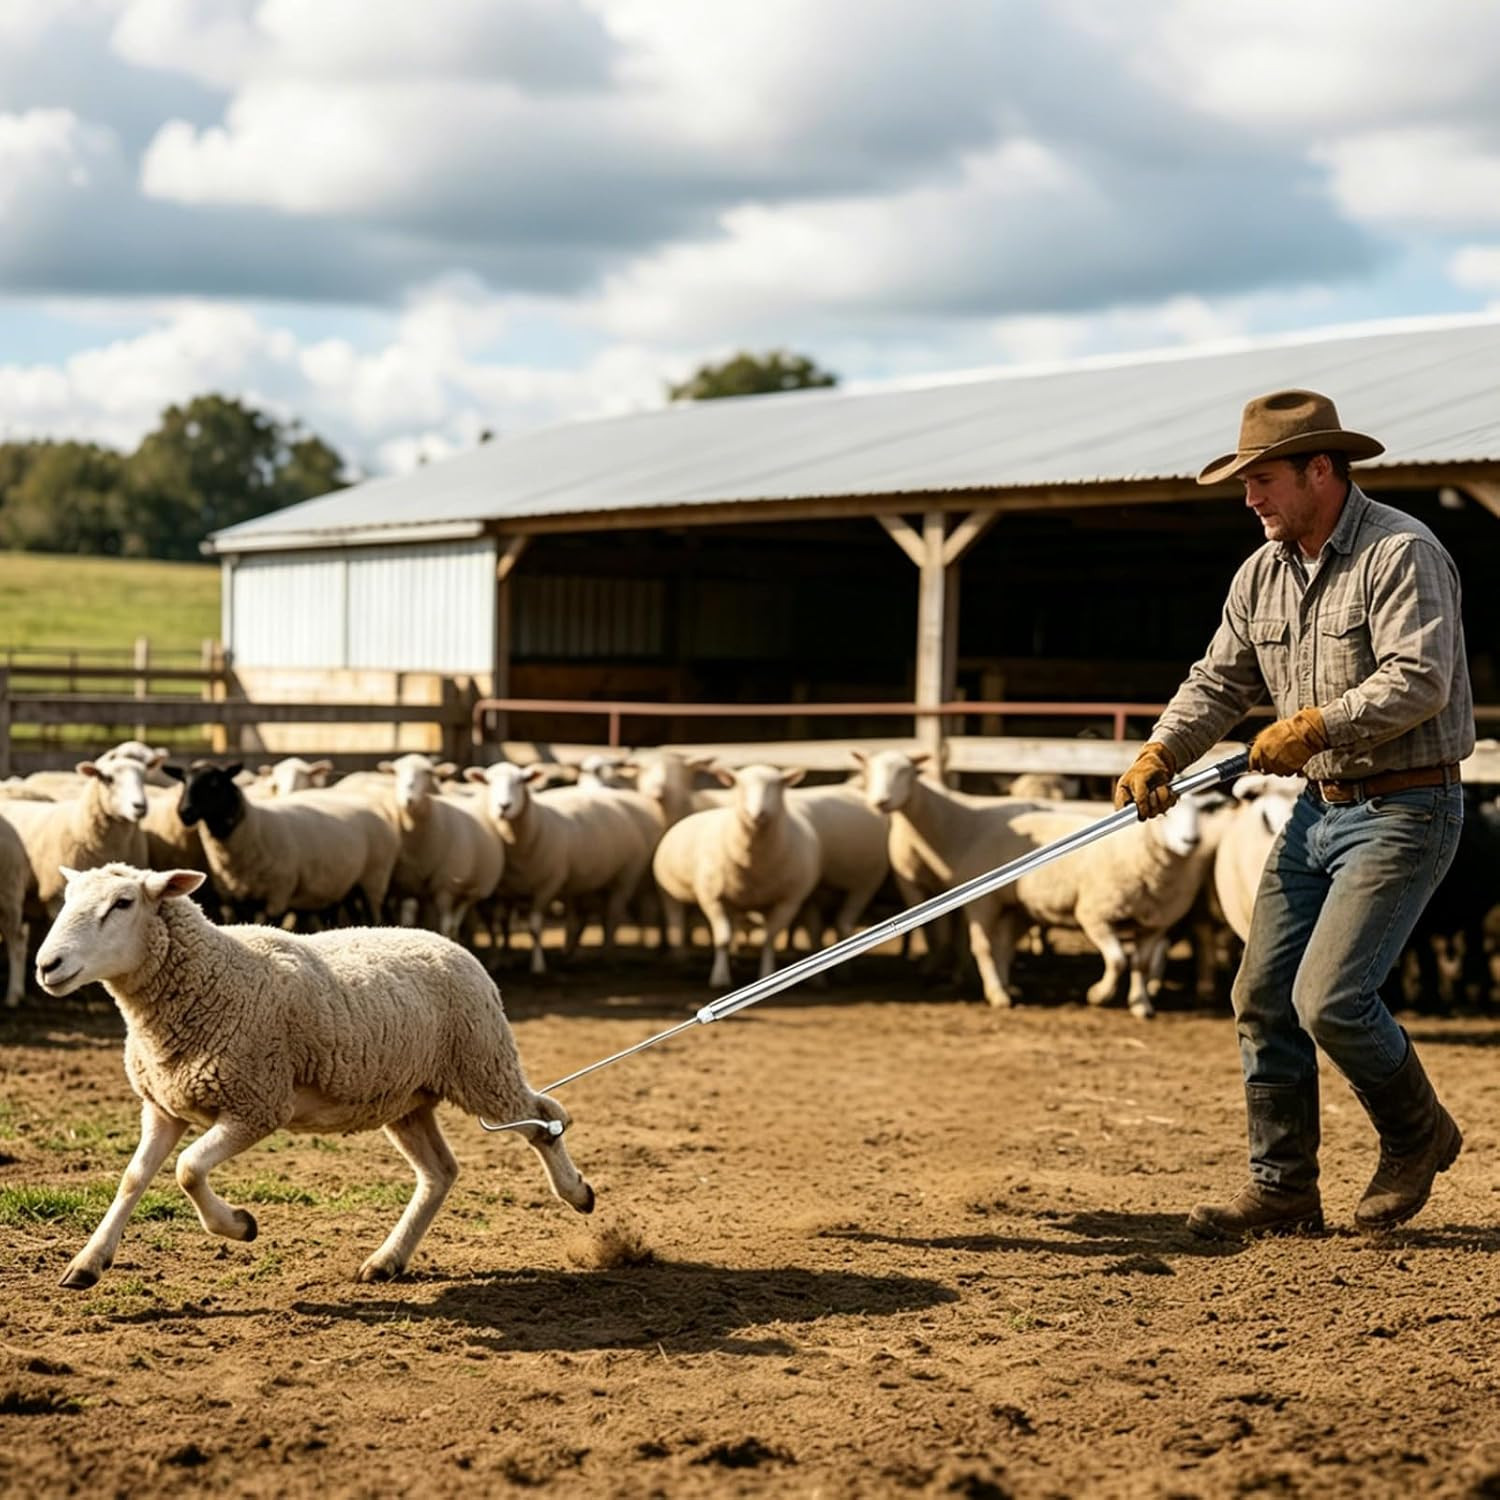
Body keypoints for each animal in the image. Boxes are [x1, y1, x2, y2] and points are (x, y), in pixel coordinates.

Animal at [35, 862, 594, 1288]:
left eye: (123, 903)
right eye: (67, 900)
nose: (47, 965)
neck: (212, 975)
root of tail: (450, 943)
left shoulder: (257, 1104)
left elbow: (188, 1169)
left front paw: (239, 1226)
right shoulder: (163, 1106)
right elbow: (134, 1178)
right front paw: (88, 1263)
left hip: (482, 1067)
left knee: (545, 1116)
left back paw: (576, 1192)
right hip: (408, 1098)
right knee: (441, 1172)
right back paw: (387, 1260)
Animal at [168, 761, 399, 926]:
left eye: (214, 784)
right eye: (183, 781)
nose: (184, 812)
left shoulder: (278, 895)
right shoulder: (236, 899)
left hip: (374, 879)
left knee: (373, 916)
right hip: (349, 886)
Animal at [377, 754, 503, 938]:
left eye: (428, 772)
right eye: (396, 772)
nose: (408, 798)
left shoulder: (445, 885)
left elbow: (445, 925)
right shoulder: (408, 883)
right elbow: (409, 921)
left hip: (470, 889)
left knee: (455, 921)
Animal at [463, 761, 657, 974]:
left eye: (522, 781)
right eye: (488, 782)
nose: (504, 807)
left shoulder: (547, 885)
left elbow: (534, 927)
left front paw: (538, 965)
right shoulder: (505, 891)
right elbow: (502, 925)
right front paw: (500, 959)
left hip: (625, 876)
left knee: (612, 917)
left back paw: (608, 957)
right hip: (586, 882)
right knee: (581, 920)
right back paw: (569, 955)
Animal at [651, 764, 821, 988]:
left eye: (778, 785)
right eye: (740, 785)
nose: (758, 814)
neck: (754, 864)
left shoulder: (788, 900)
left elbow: (769, 939)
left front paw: (767, 974)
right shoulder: (713, 898)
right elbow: (722, 939)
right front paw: (720, 978)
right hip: (671, 893)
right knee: (678, 922)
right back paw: (681, 958)